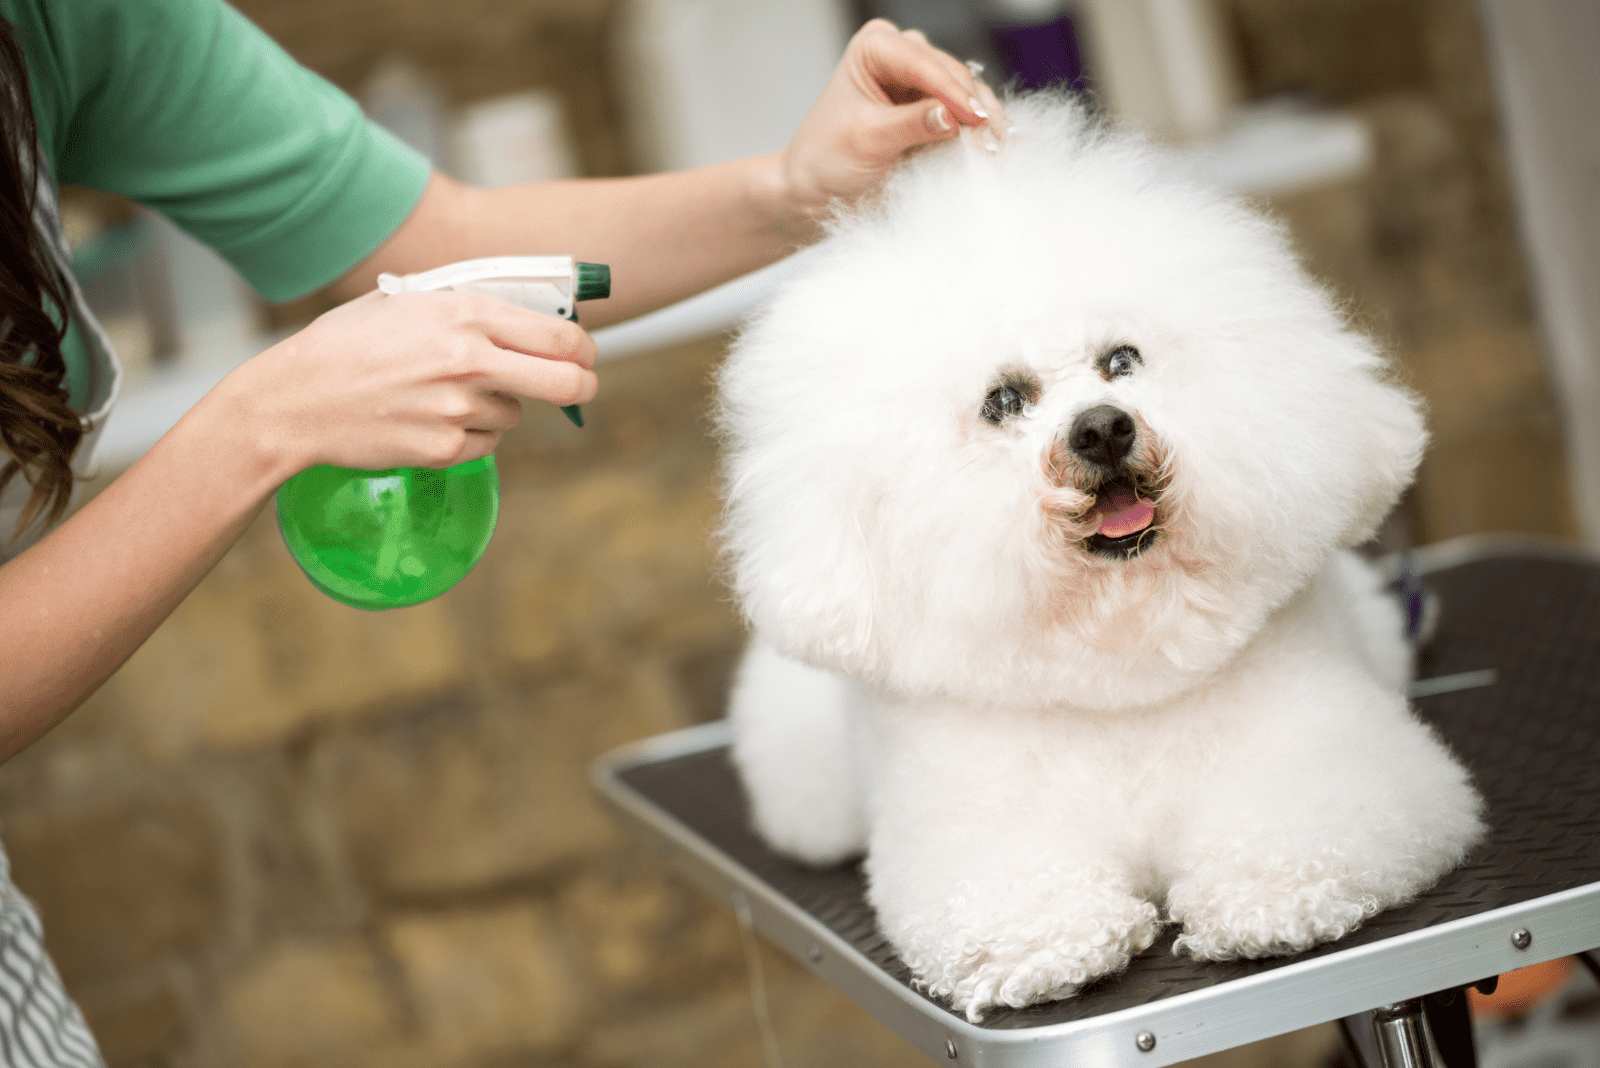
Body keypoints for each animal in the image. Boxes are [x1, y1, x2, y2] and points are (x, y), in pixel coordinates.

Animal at [713, 95, 1484, 1023]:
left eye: (1121, 360)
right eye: (1003, 401)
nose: (1103, 429)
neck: (1118, 660)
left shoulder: (1333, 759)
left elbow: (1299, 831)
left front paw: (1266, 898)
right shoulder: (977, 832)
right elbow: (1013, 901)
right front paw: (1048, 949)